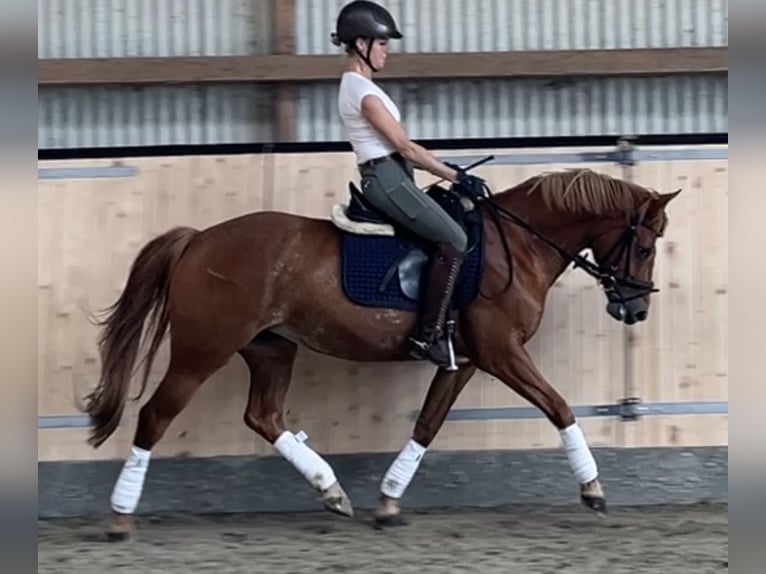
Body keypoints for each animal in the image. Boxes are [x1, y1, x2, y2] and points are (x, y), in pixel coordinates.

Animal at [84, 161, 680, 540]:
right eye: (645, 246)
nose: (636, 310)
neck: (520, 245)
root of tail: (199, 239)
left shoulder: (465, 360)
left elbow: (427, 424)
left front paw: (390, 501)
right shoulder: (501, 352)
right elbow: (558, 407)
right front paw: (594, 490)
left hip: (271, 348)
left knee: (264, 415)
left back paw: (331, 491)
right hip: (201, 351)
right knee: (156, 417)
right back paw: (119, 517)